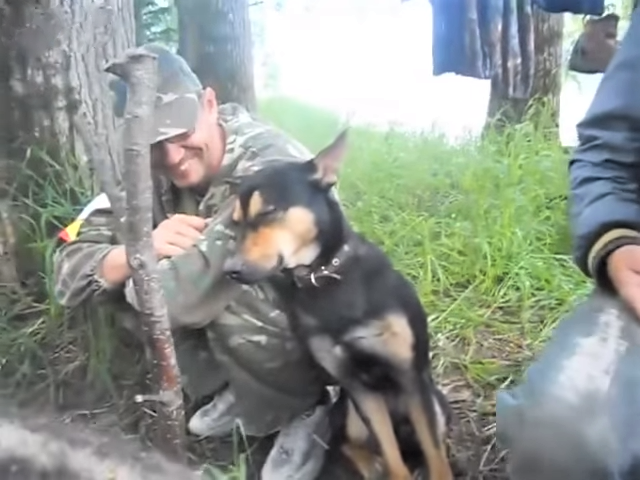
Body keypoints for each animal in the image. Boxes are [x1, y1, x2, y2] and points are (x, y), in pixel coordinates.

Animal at [222, 129, 452, 478]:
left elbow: (436, 456)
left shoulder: (411, 377)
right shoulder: (358, 388)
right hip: (351, 412)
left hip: (435, 402)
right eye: (235, 222)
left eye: (268, 211)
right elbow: (391, 455)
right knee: (351, 443)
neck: (325, 277)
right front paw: (389, 468)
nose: (230, 270)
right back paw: (371, 464)